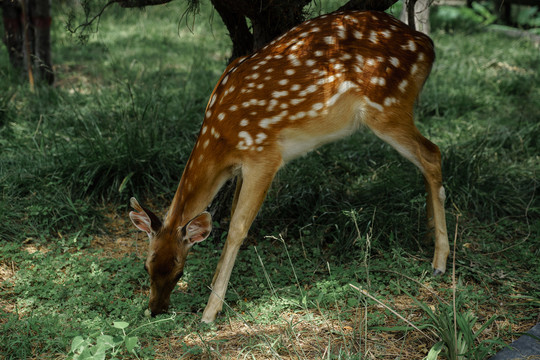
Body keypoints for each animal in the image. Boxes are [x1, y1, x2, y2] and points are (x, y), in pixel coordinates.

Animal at [129, 9, 450, 322]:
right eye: (146, 266)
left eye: (179, 270)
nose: (155, 309)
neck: (220, 138)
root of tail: (427, 44)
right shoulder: (242, 168)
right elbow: (232, 215)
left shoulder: (264, 155)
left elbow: (238, 227)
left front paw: (211, 310)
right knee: (426, 160)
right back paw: (429, 231)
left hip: (387, 105)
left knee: (432, 153)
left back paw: (440, 262)